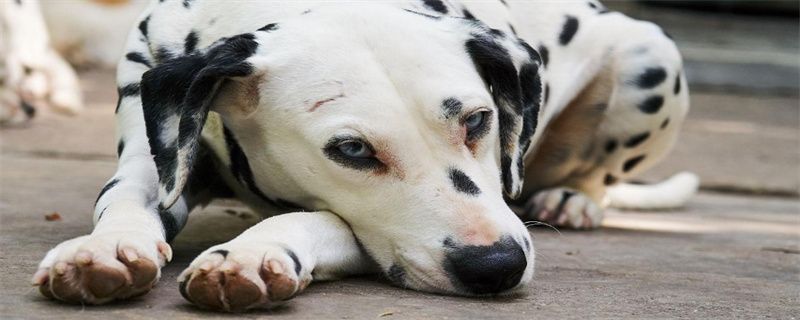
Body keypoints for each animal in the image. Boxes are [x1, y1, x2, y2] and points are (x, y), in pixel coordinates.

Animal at [29, 0, 692, 312]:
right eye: (351, 150)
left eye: (477, 120)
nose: (496, 265)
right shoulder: (152, 147)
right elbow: (125, 201)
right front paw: (105, 249)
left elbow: (323, 218)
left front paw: (253, 253)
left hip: (651, 58)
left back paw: (575, 197)